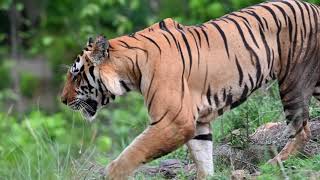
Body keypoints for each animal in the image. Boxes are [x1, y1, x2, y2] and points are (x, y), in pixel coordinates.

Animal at [60, 0, 320, 179]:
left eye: (75, 74)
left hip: (293, 81)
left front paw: (111, 174)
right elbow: (203, 158)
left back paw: (273, 165)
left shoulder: (173, 121)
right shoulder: (198, 123)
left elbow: (131, 154)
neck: (130, 69)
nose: (62, 99)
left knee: (302, 131)